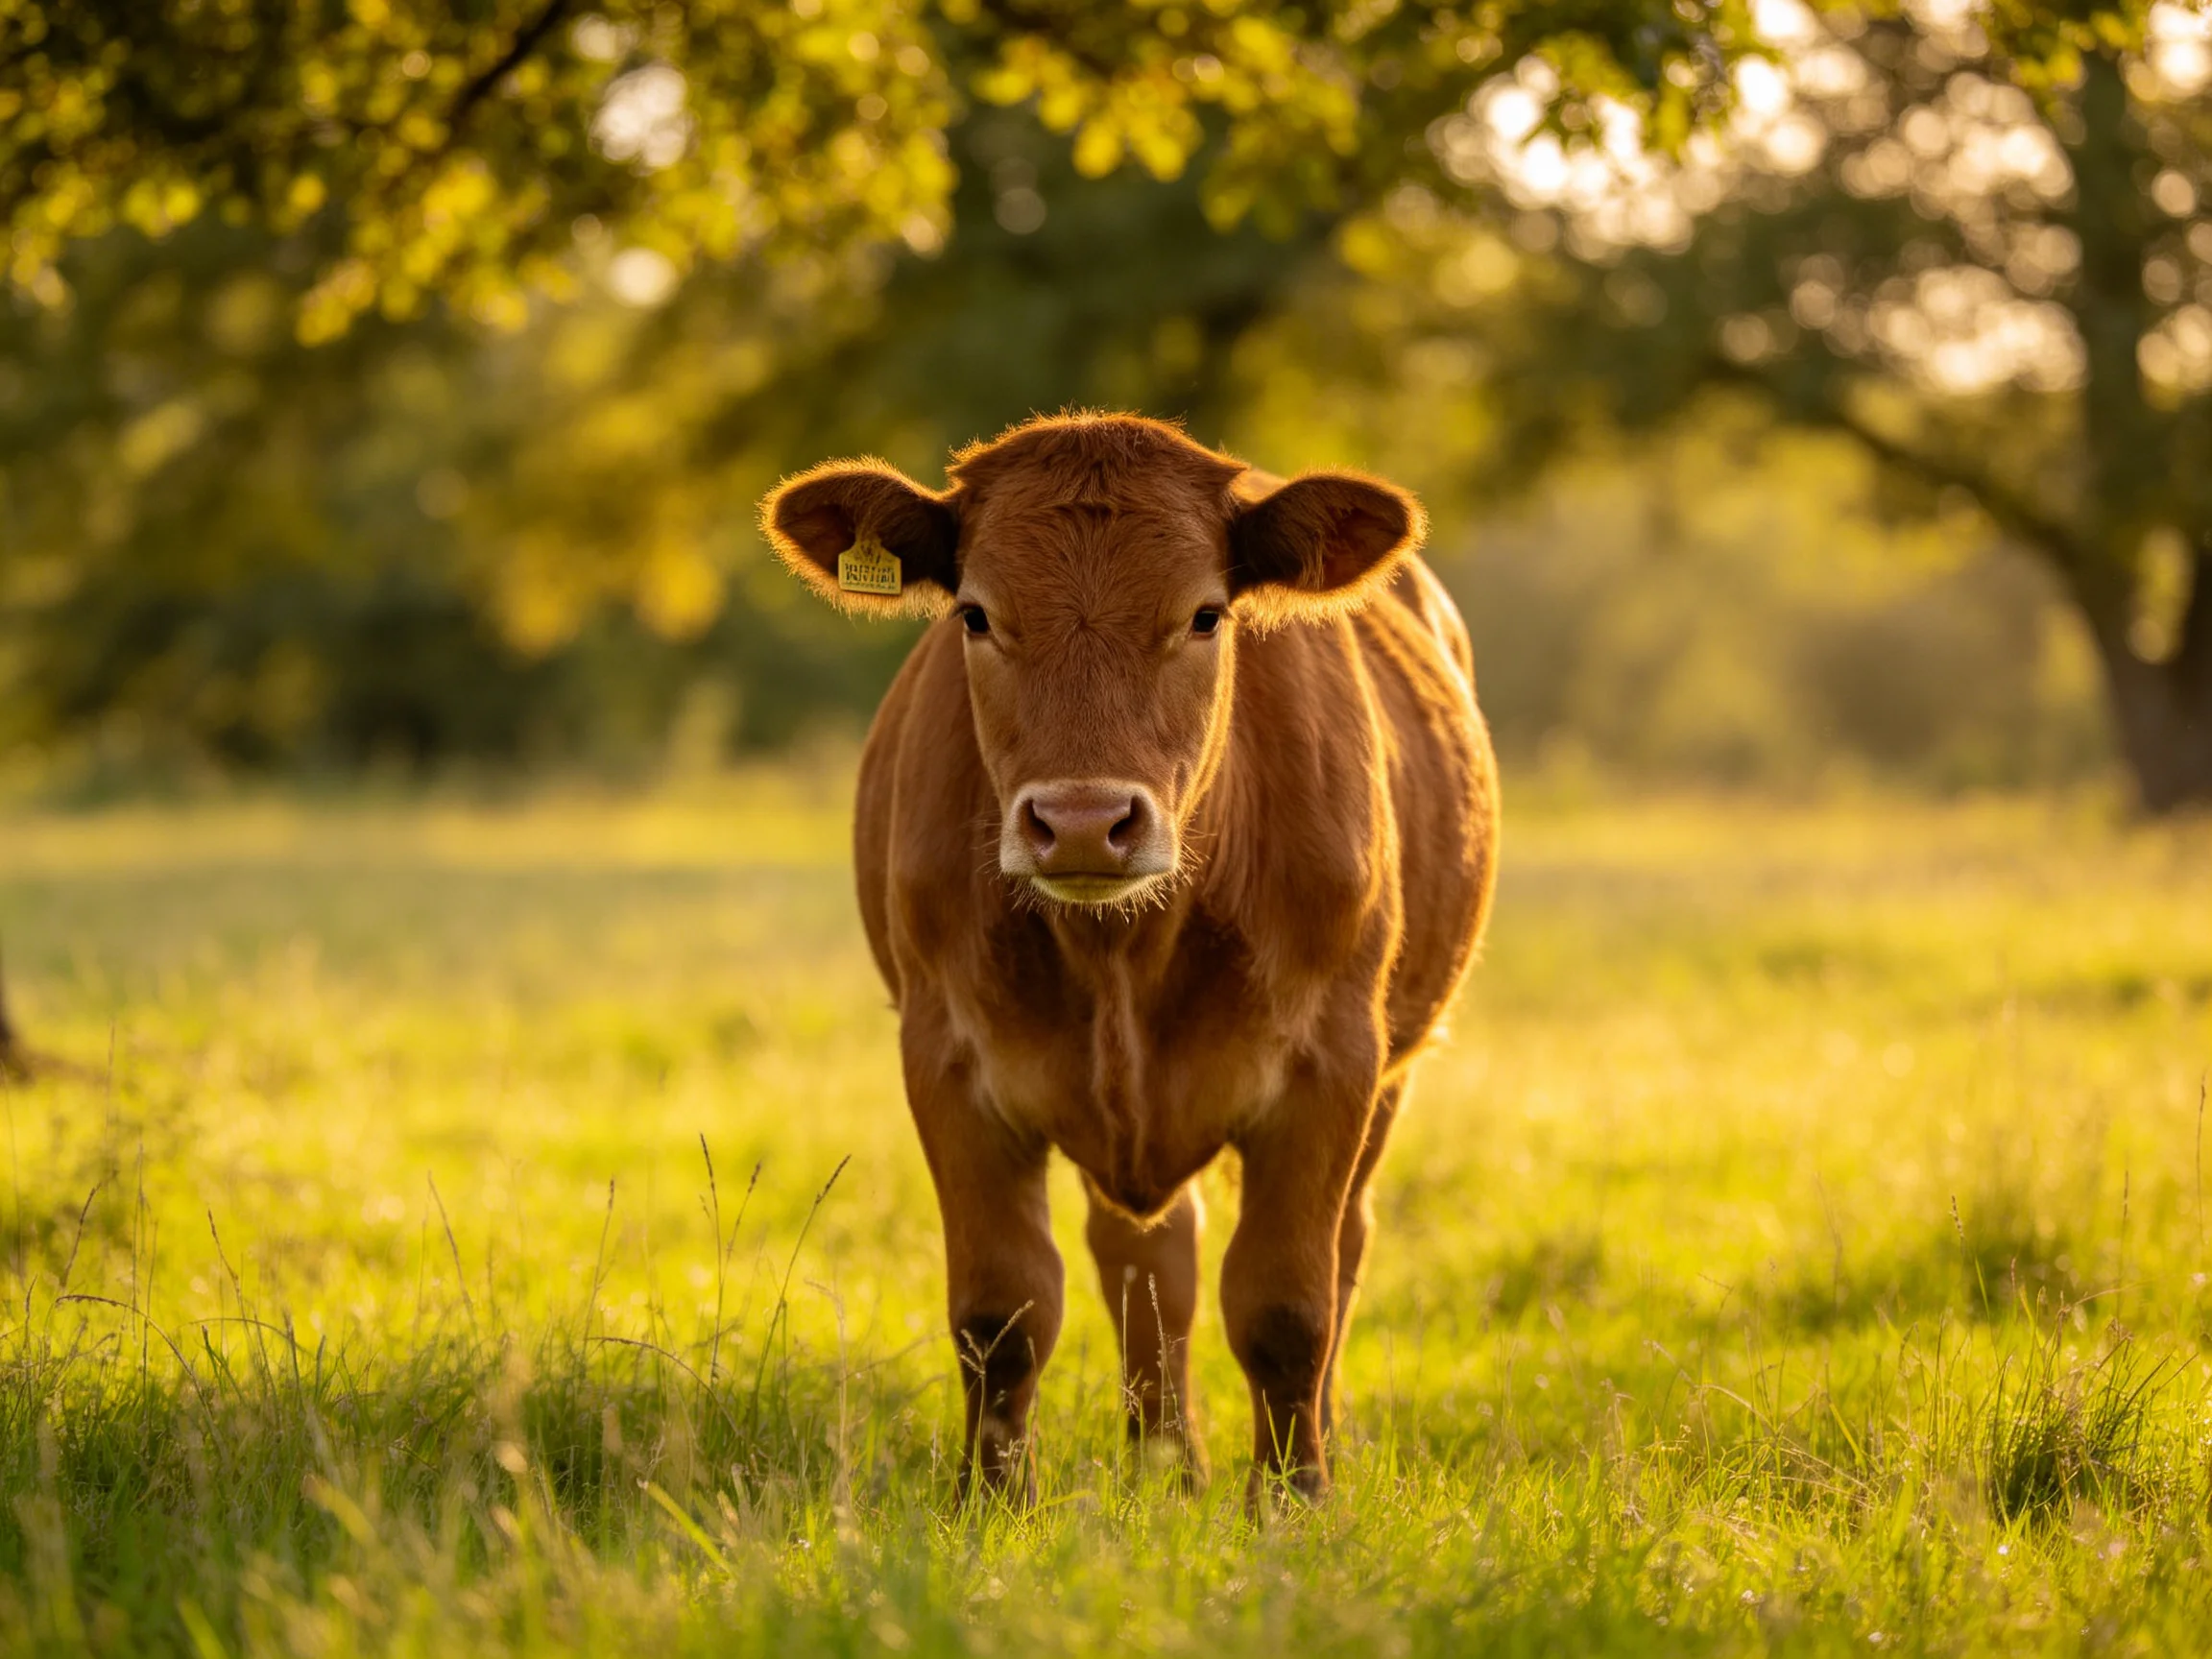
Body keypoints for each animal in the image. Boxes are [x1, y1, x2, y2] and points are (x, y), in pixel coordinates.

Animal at [760, 413, 1498, 1504]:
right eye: (976, 615)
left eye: (1204, 615)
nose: (1081, 822)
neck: (1122, 947)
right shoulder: (946, 1056)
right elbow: (1003, 1310)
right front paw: (991, 1502)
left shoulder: (1333, 1059)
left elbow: (1288, 1307)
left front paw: (1292, 1502)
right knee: (1149, 1254)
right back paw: (1165, 1462)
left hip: (1396, 1064)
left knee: (1341, 1247)